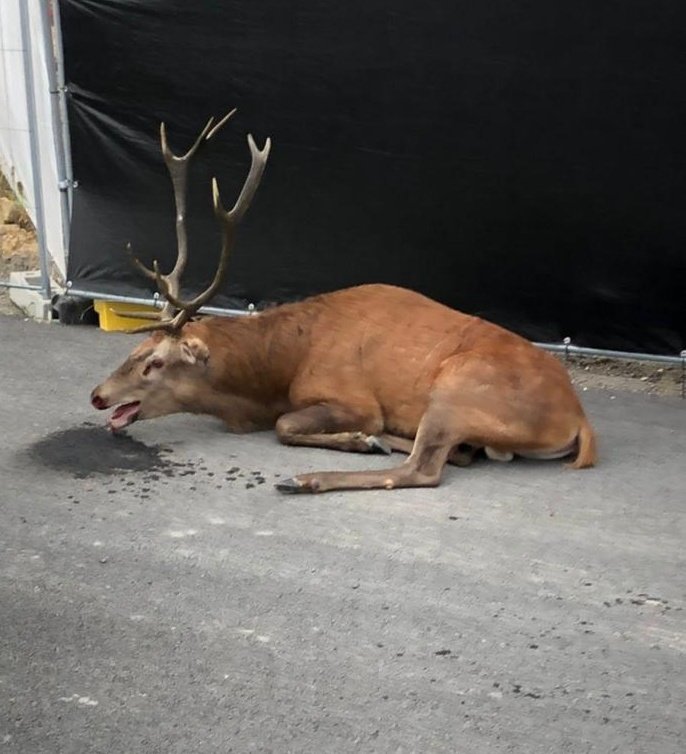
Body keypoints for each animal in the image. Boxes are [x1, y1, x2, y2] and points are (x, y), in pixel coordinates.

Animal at [90, 112, 597, 494]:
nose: (98, 395)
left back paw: (310, 477)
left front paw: (359, 438)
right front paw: (368, 438)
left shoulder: (348, 394)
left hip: (458, 387)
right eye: (134, 349)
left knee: (424, 470)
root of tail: (578, 421)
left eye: (155, 362)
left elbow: (286, 425)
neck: (277, 371)